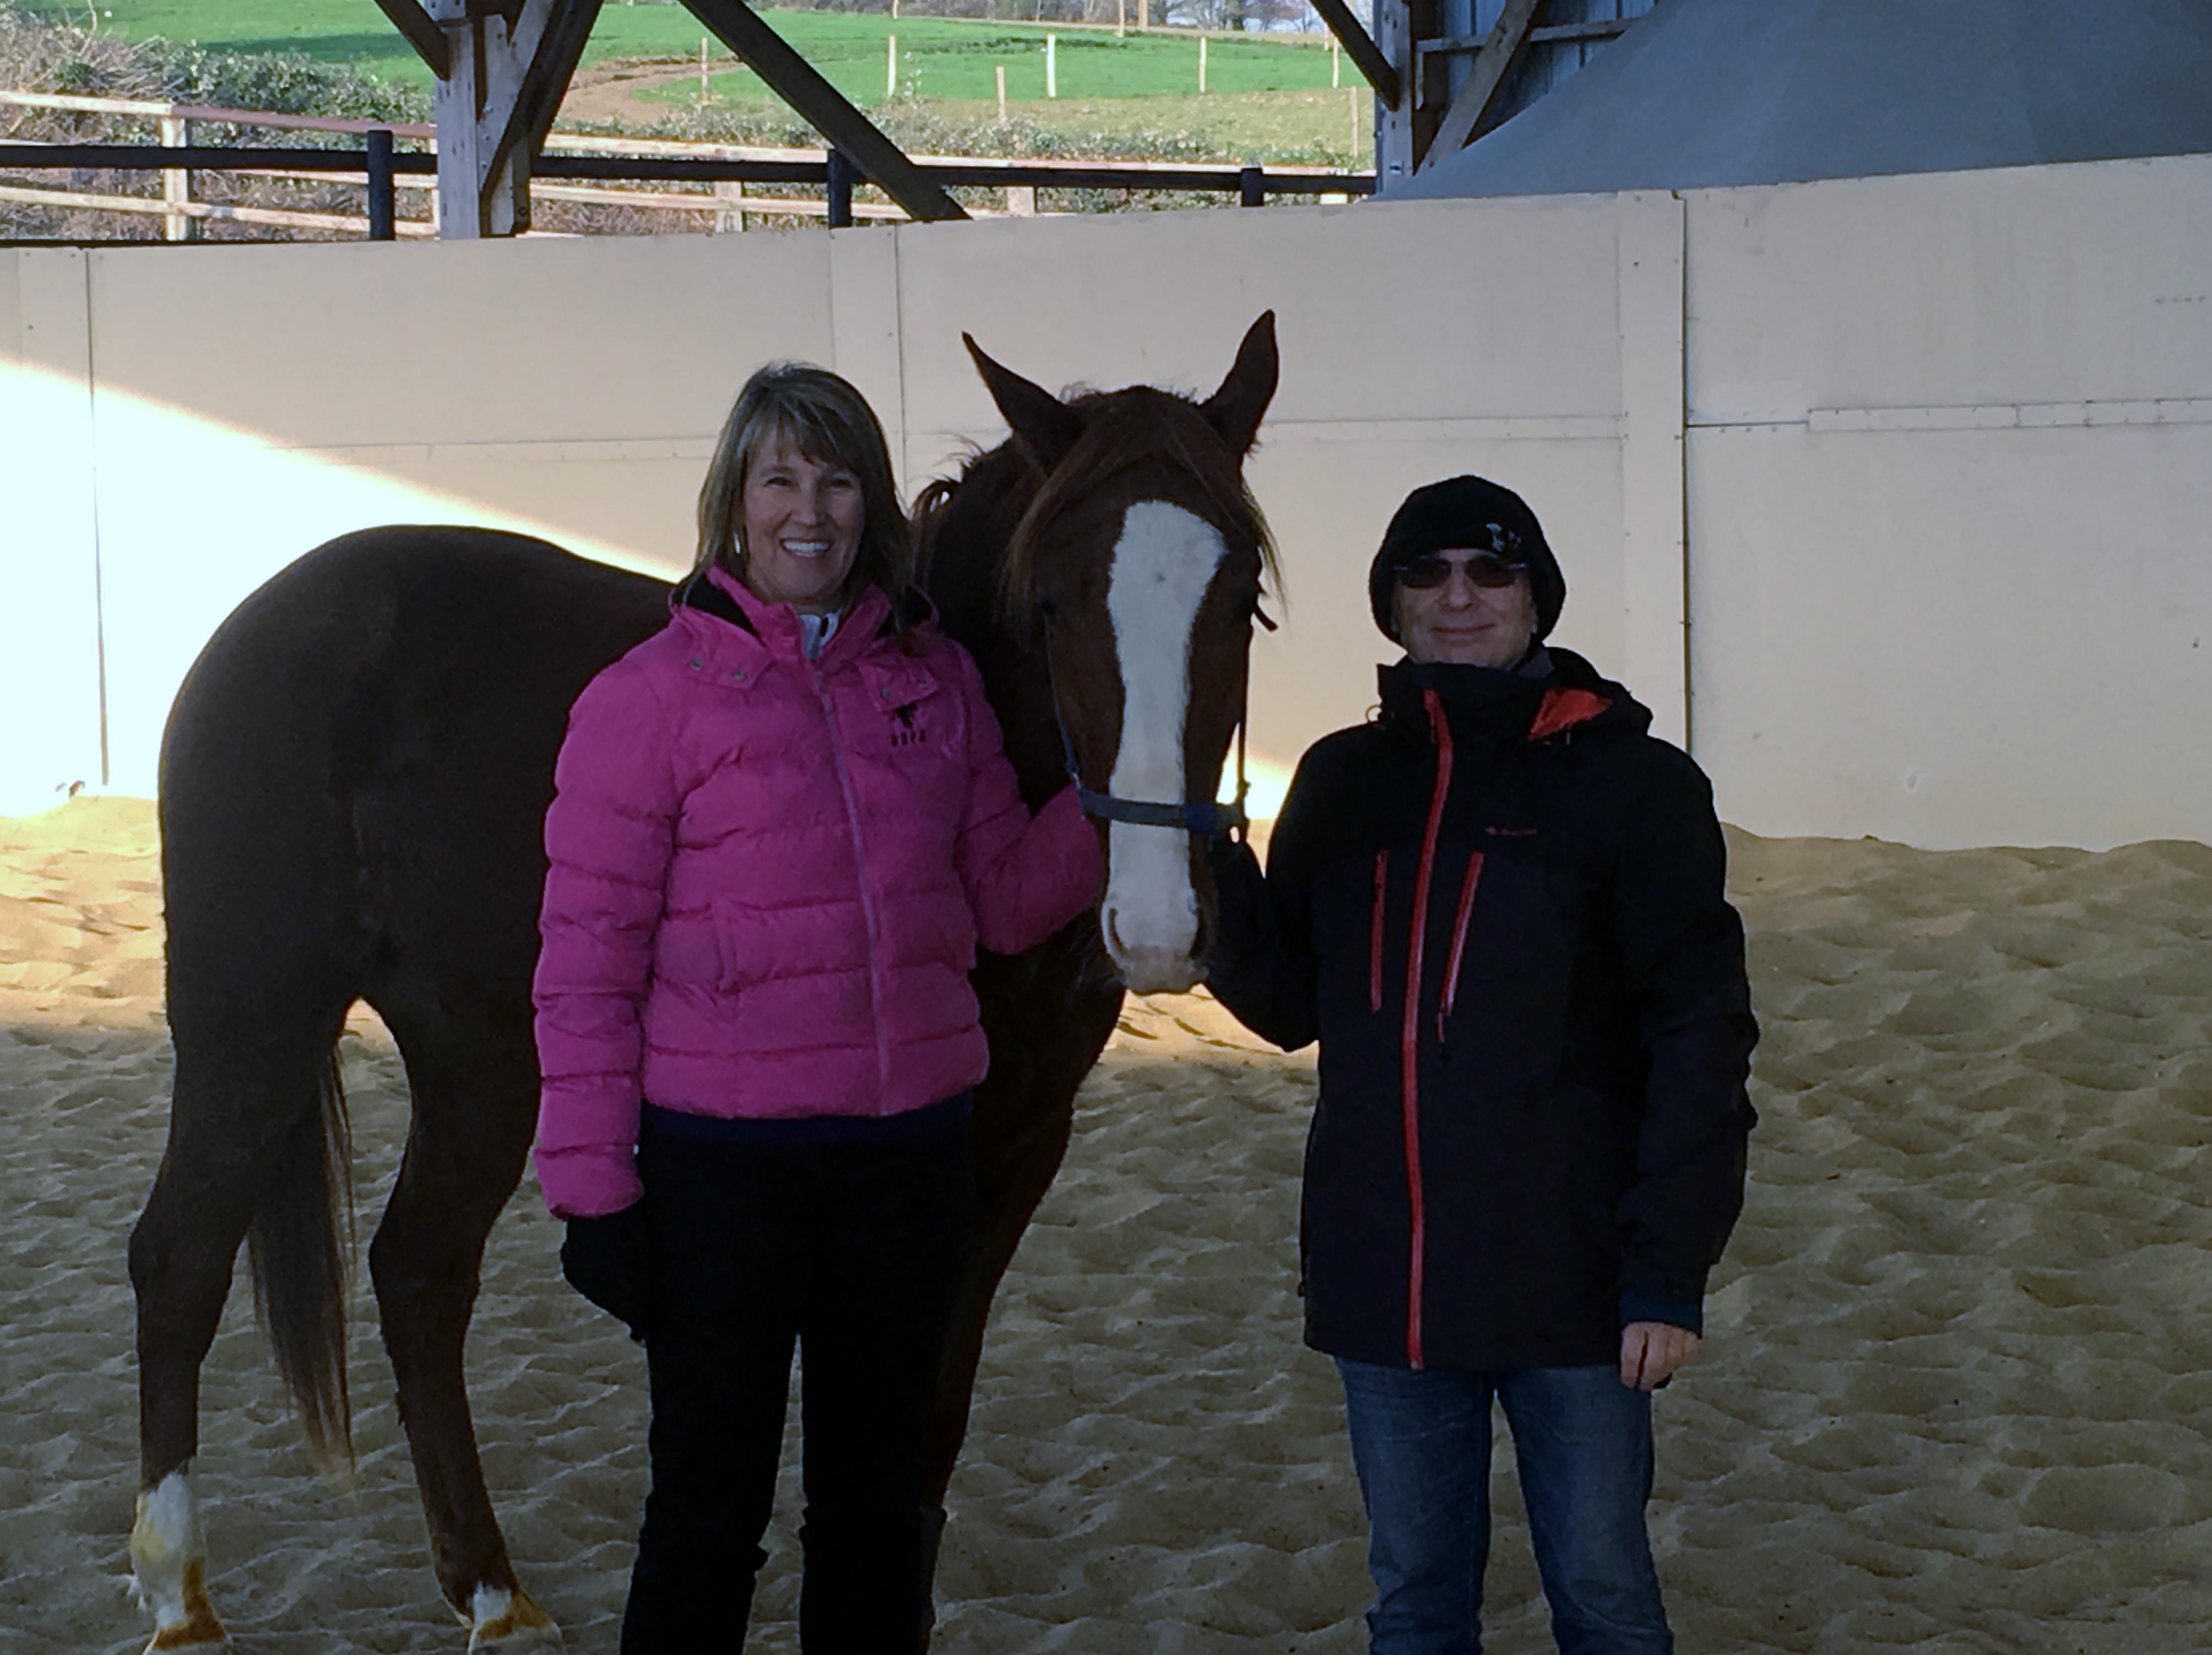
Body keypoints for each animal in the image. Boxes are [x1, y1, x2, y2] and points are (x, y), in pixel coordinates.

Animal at [125, 316, 1283, 1646]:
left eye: (1241, 602)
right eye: (1048, 603)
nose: (1159, 920)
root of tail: (265, 621)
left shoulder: (1013, 1145)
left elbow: (930, 1417)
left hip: (482, 1054)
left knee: (419, 1272)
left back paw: (493, 1593)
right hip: (252, 1022)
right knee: (179, 1260)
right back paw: (181, 1598)